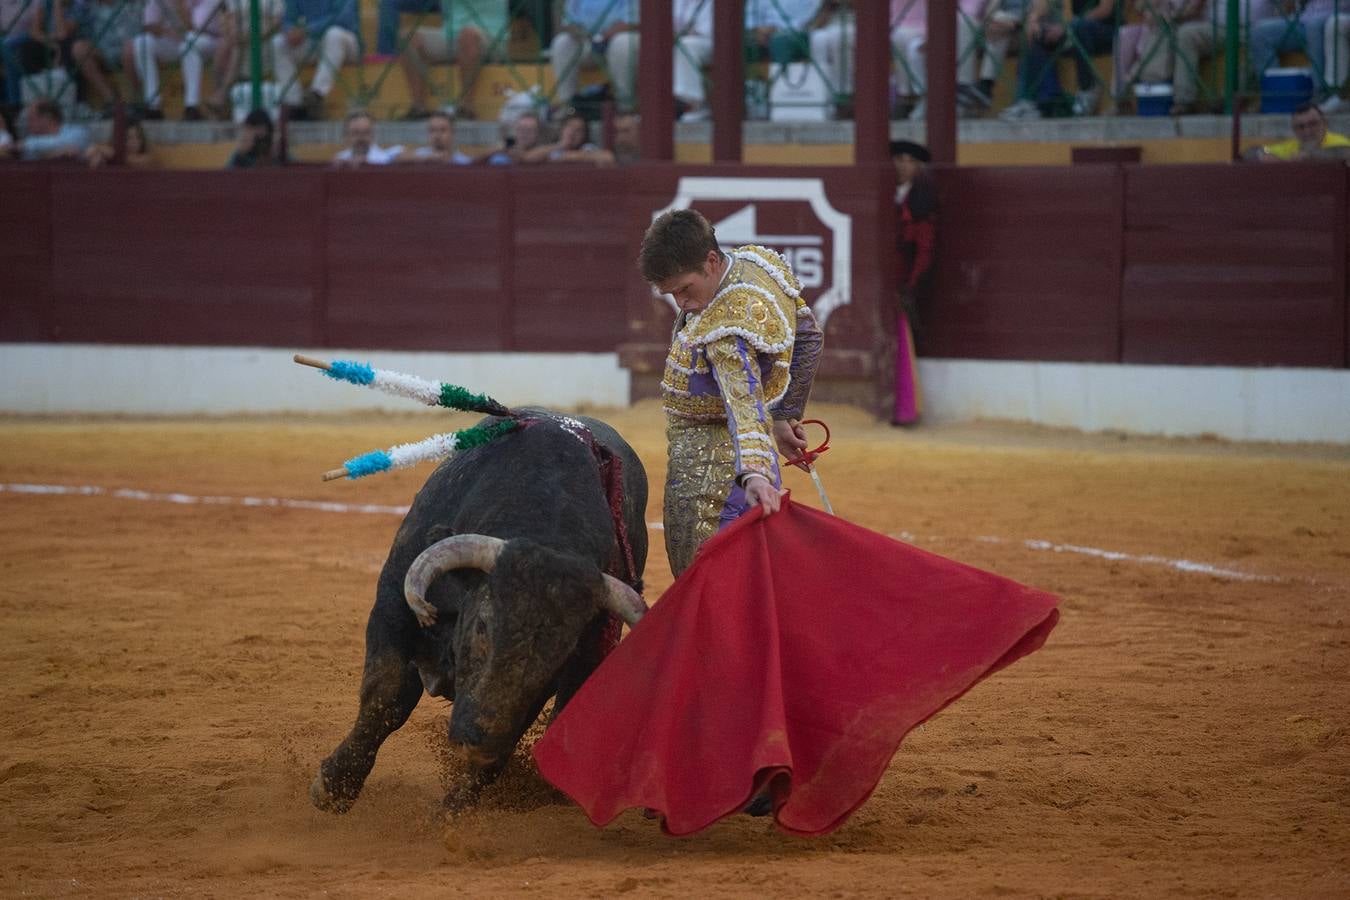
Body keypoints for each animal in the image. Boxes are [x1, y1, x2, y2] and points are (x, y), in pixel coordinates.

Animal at [315, 412, 653, 814]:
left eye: (558, 657)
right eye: (481, 625)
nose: (475, 739)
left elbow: (503, 745)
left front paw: (452, 812)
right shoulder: (392, 606)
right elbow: (386, 696)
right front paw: (335, 787)